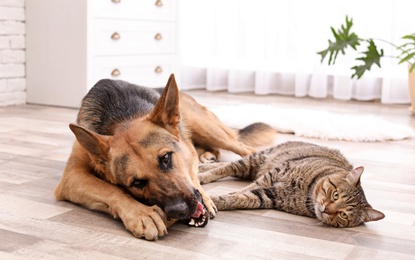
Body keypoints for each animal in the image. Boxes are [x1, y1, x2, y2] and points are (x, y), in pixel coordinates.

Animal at [54, 73, 276, 240]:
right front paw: (141, 213)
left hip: (207, 128)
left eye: (166, 158)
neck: (121, 118)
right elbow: (110, 189)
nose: (178, 211)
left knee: (242, 147)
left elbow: (193, 172)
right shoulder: (72, 177)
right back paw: (207, 156)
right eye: (136, 183)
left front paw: (204, 194)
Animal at [200, 140, 386, 228]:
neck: (308, 192)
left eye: (343, 215)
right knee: (226, 167)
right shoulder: (276, 172)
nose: (326, 209)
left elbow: (240, 197)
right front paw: (206, 199)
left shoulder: (269, 197)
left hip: (250, 168)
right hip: (255, 160)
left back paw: (200, 169)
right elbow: (249, 187)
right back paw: (201, 175)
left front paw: (215, 201)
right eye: (335, 195)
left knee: (224, 166)